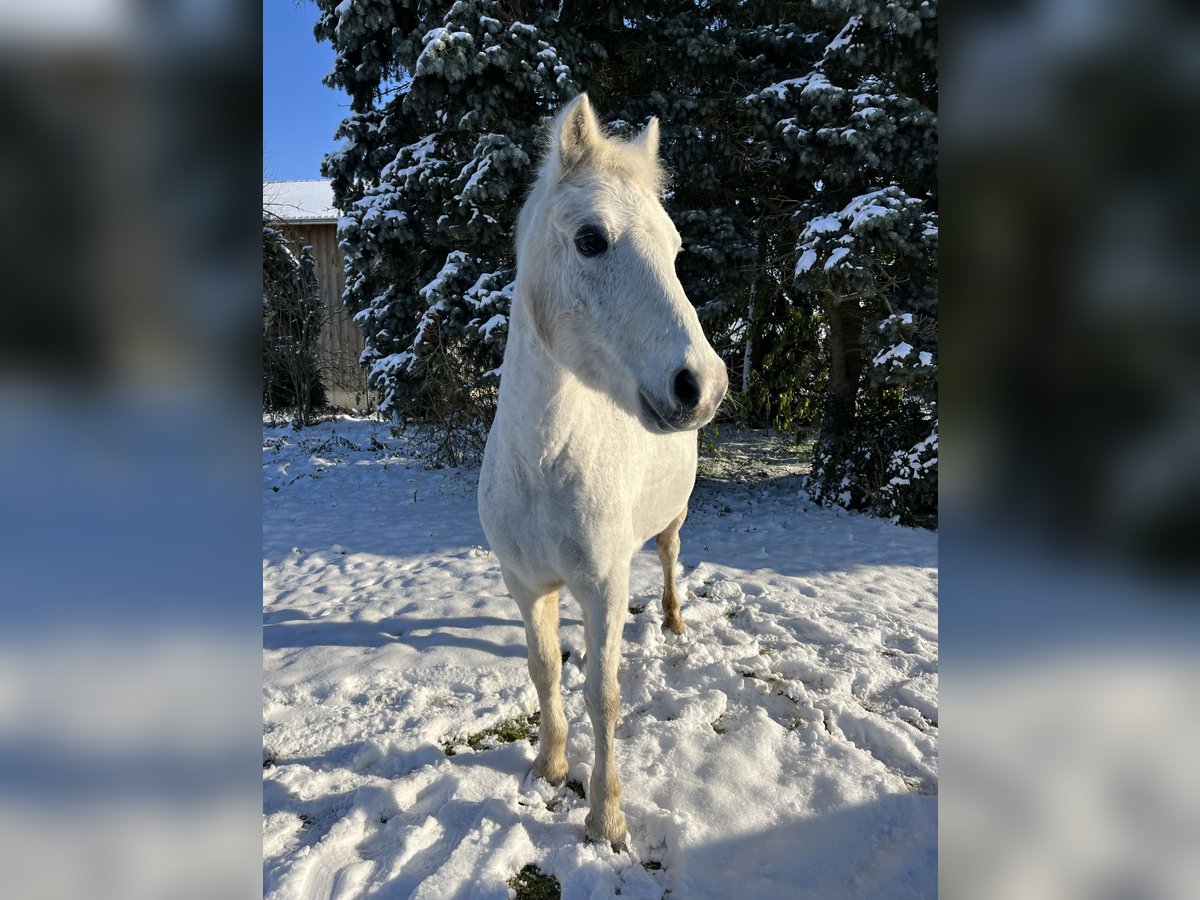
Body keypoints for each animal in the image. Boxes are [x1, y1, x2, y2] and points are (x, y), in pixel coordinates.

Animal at [475, 95, 720, 849]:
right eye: (590, 240)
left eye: (675, 248)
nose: (702, 385)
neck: (542, 465)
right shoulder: (526, 584)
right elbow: (545, 669)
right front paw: (551, 767)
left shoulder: (603, 587)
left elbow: (602, 695)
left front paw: (606, 818)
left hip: (672, 521)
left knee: (667, 557)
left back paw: (672, 621)